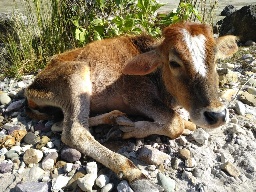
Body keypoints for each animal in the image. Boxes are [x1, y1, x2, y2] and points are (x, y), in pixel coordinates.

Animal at [25, 22, 237, 190]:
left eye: (215, 59)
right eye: (174, 62)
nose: (216, 115)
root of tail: (31, 88)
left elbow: (186, 123)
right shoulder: (138, 96)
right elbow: (175, 123)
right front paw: (134, 129)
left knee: (59, 124)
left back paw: (114, 118)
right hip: (76, 74)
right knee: (74, 132)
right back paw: (129, 168)